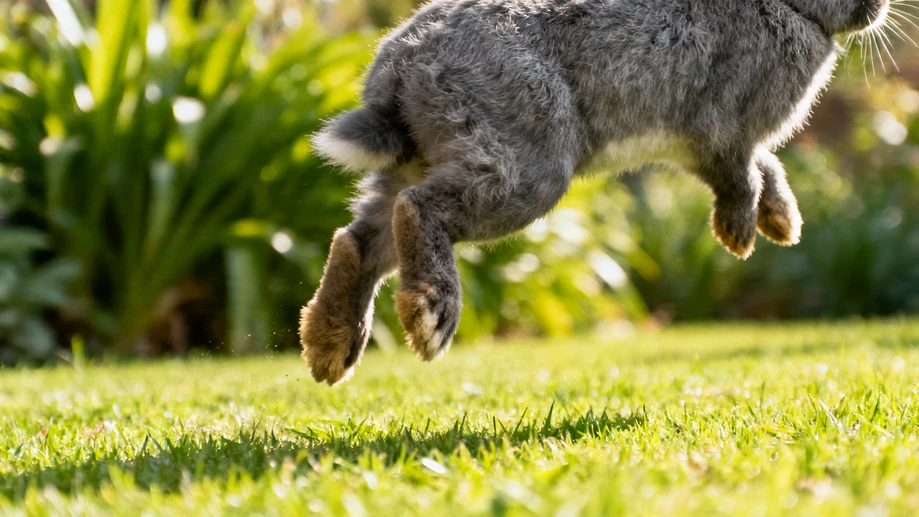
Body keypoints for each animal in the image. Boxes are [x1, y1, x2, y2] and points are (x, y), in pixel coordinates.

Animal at [301, 0, 894, 385]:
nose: (880, 6)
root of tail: (402, 65)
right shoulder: (723, 132)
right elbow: (740, 172)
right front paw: (740, 235)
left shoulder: (702, 148)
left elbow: (762, 165)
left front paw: (782, 222)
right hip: (527, 171)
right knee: (417, 208)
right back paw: (431, 316)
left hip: (419, 159)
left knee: (358, 237)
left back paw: (330, 348)